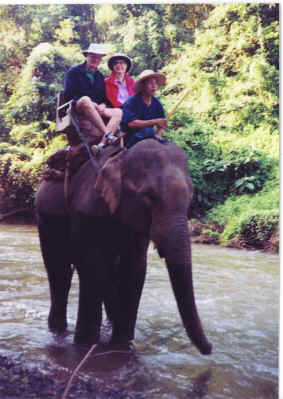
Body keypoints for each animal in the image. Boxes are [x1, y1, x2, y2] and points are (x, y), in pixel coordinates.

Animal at [35, 140, 213, 356]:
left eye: (190, 197)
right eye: (149, 196)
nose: (209, 348)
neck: (121, 158)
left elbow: (134, 269)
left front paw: (121, 344)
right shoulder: (86, 210)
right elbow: (92, 268)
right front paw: (85, 344)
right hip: (44, 218)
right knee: (59, 272)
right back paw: (59, 330)